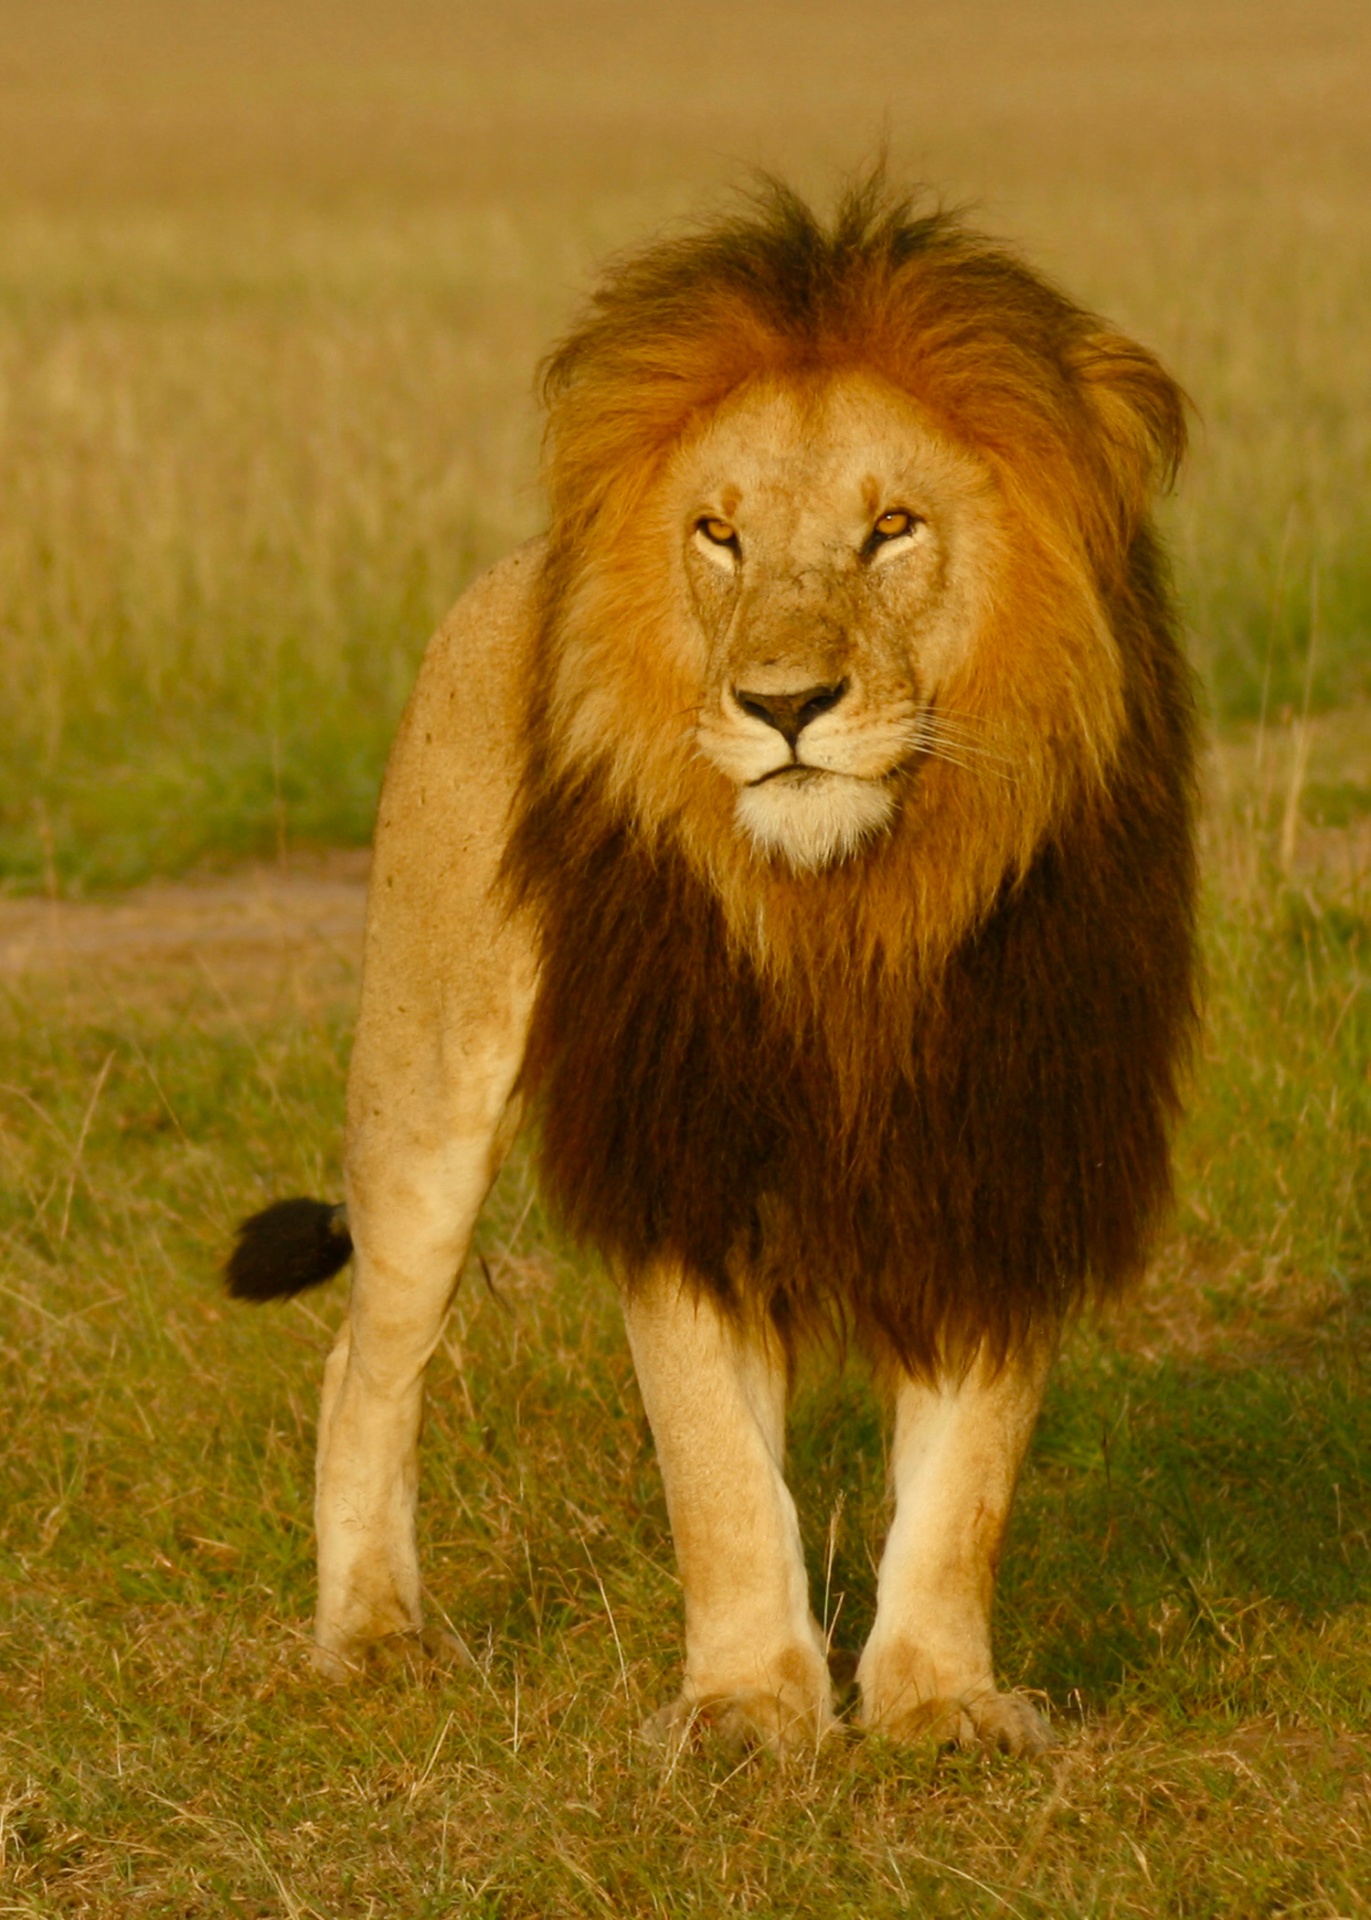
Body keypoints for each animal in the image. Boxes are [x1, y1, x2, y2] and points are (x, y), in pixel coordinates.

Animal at [227, 174, 1198, 1759]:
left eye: (890, 528)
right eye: (717, 536)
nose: (784, 705)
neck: (843, 913)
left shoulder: (997, 1136)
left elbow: (968, 1475)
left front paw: (937, 1701)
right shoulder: (681, 1139)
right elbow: (714, 1468)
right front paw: (748, 1709)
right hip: (425, 1085)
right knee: (362, 1363)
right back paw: (369, 1634)